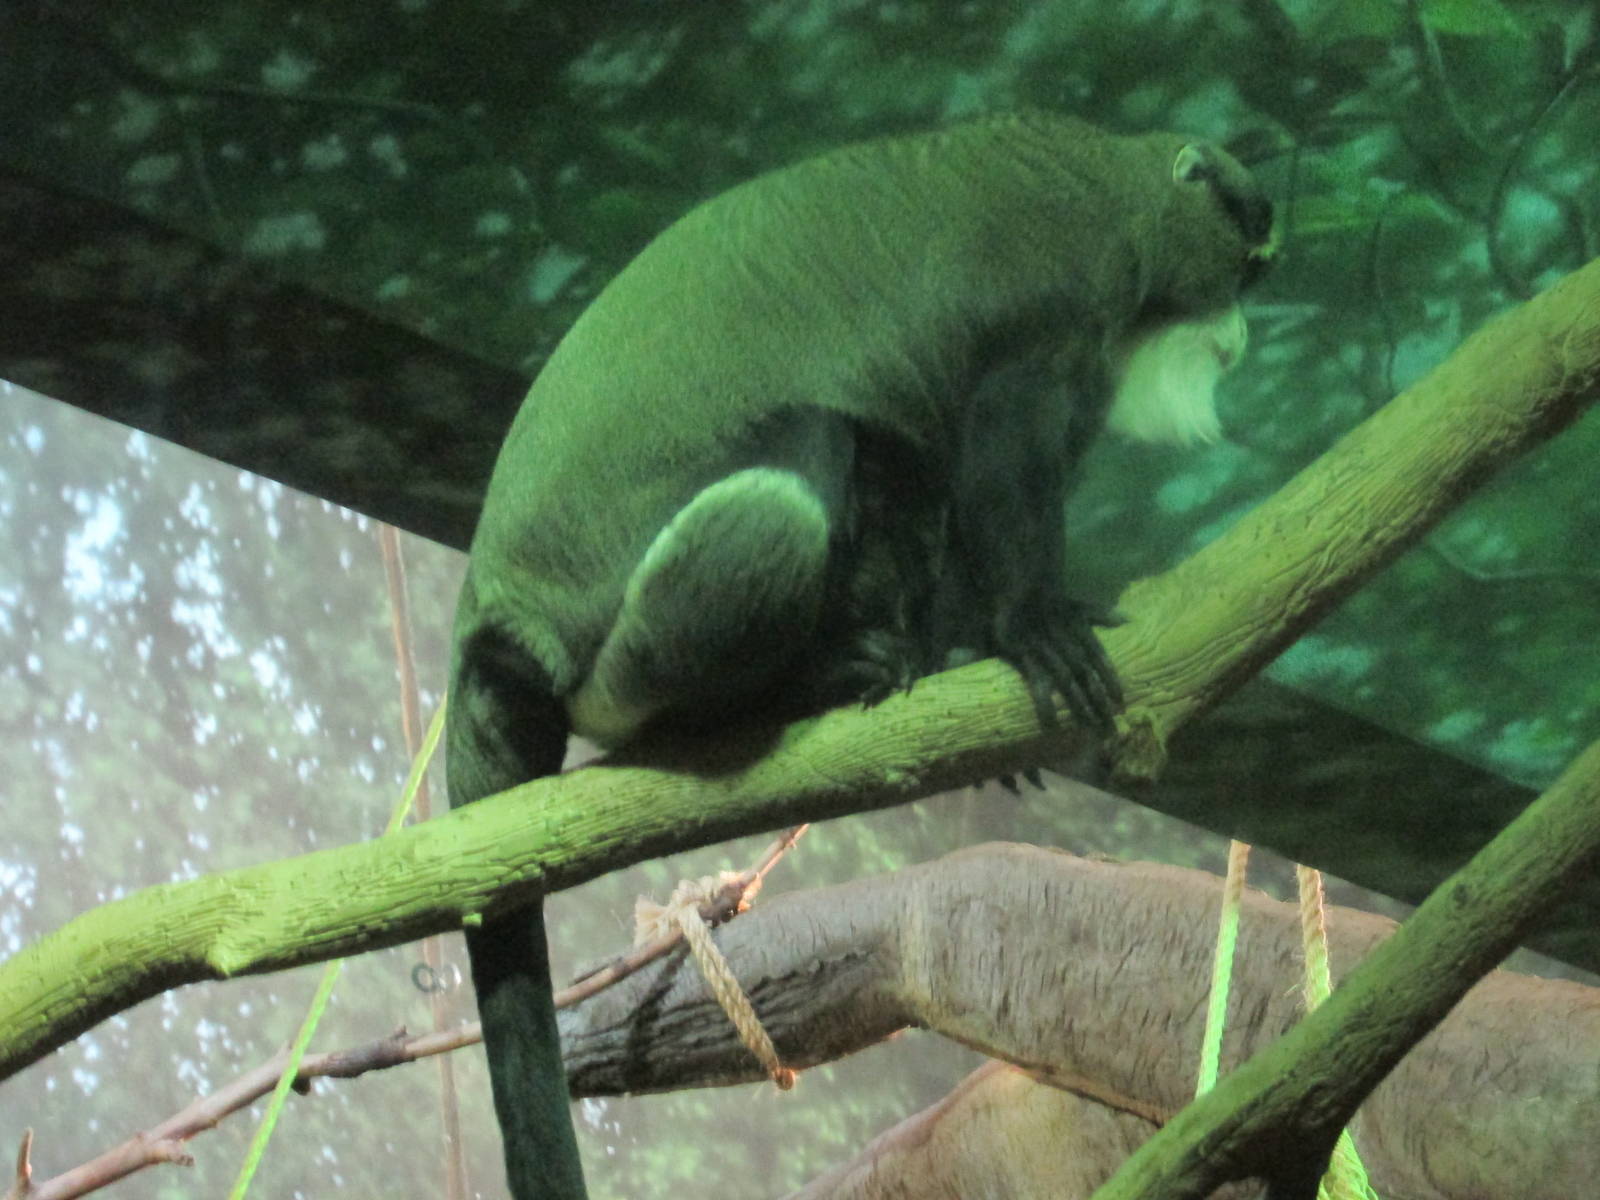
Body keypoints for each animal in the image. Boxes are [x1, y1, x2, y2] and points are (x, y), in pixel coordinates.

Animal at [446, 110, 1274, 1199]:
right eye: (1246, 261)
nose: (1243, 333)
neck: (1116, 184)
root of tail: (491, 626)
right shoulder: (1054, 308)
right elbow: (998, 448)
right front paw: (1033, 624)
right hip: (625, 652)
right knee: (815, 445)